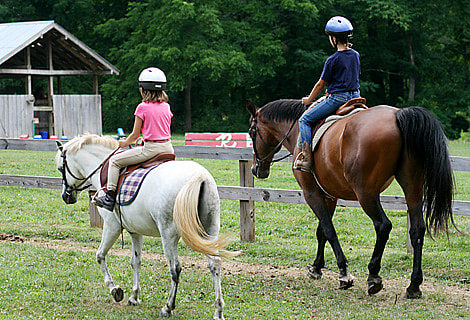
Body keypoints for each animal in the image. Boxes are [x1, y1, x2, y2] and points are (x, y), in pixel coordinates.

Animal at [55, 134, 237, 318]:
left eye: (60, 168)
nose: (66, 196)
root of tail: (199, 177)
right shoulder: (135, 231)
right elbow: (136, 261)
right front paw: (134, 296)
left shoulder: (112, 226)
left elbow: (100, 255)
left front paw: (115, 290)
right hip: (210, 232)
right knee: (215, 264)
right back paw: (218, 310)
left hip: (168, 235)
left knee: (175, 268)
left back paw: (168, 307)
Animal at [248, 99, 454, 298]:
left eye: (251, 133)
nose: (256, 169)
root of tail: (397, 115)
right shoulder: (329, 196)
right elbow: (321, 231)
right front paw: (316, 267)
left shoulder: (311, 193)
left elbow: (329, 231)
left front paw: (344, 273)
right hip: (412, 189)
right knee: (417, 230)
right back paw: (414, 285)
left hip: (366, 194)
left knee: (383, 226)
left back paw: (374, 276)